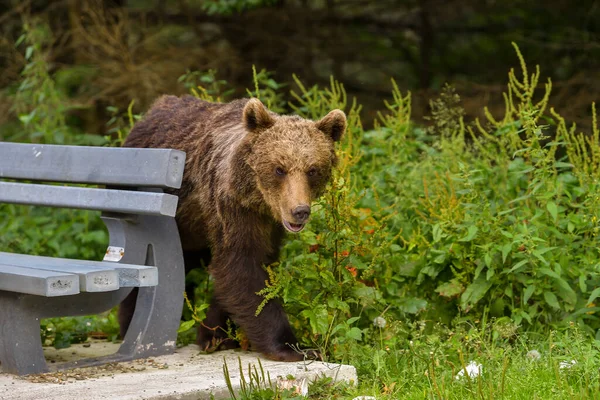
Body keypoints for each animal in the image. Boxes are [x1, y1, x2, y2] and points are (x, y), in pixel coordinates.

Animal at [119, 95, 344, 360]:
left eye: (312, 170)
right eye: (279, 168)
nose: (299, 210)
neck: (257, 199)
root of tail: (148, 114)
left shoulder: (267, 225)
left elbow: (246, 269)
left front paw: (215, 334)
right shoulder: (232, 209)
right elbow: (244, 269)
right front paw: (293, 346)